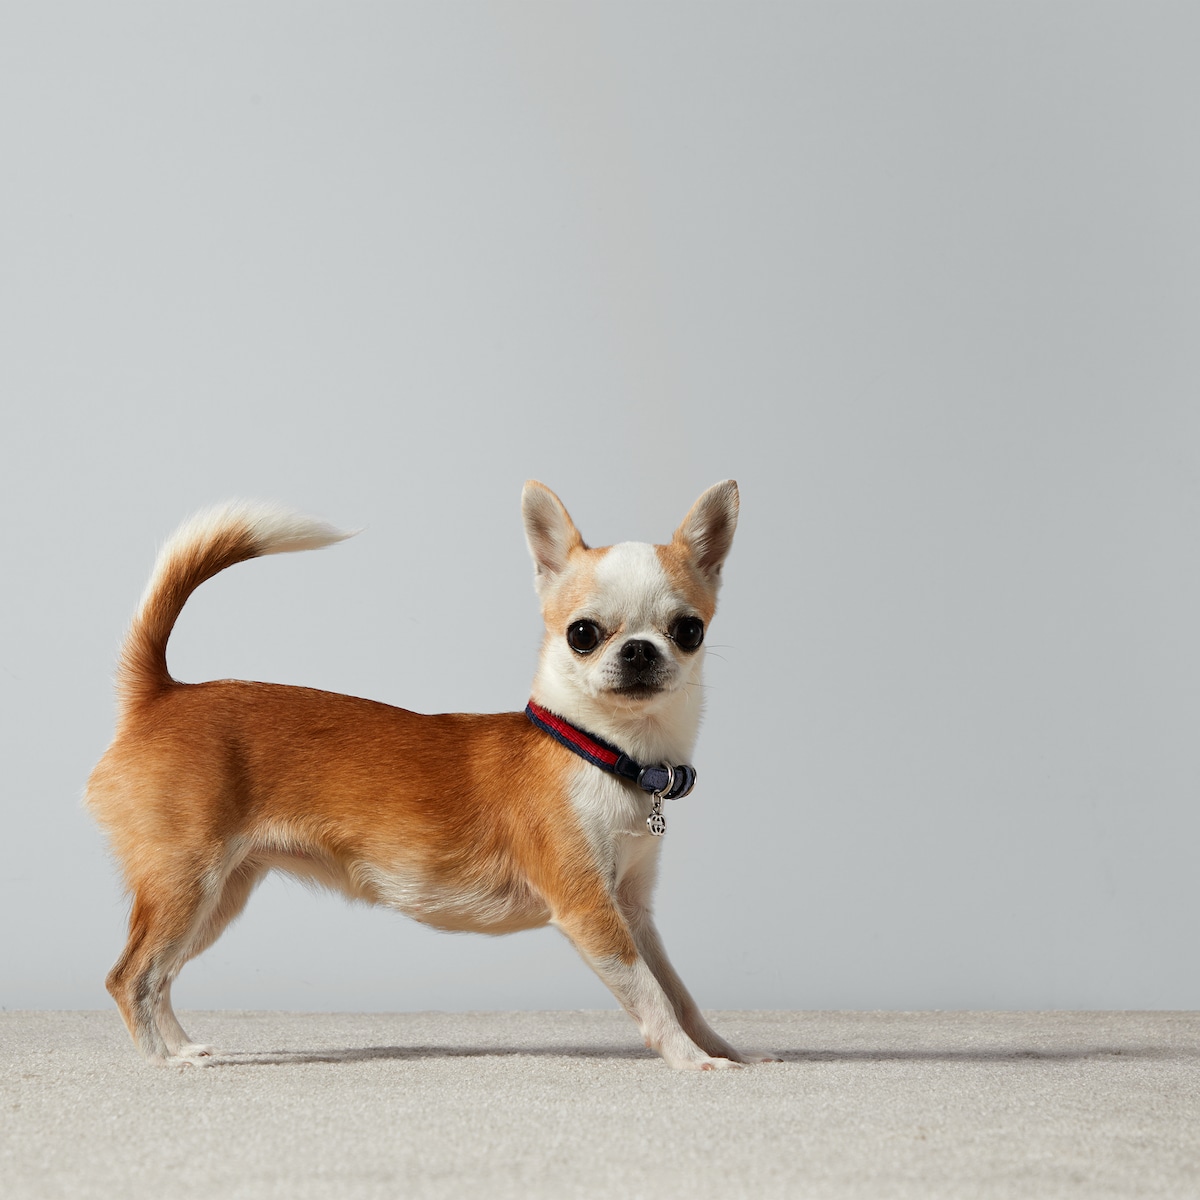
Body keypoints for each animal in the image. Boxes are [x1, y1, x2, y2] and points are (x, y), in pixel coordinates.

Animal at [84, 477, 763, 1070]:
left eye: (689, 630)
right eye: (582, 634)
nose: (640, 650)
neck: (601, 752)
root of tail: (163, 694)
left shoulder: (633, 911)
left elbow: (678, 991)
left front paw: (727, 1051)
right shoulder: (593, 912)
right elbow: (650, 994)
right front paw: (691, 1061)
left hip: (217, 895)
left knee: (160, 975)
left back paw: (183, 1047)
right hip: (186, 882)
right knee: (130, 975)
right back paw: (163, 1060)